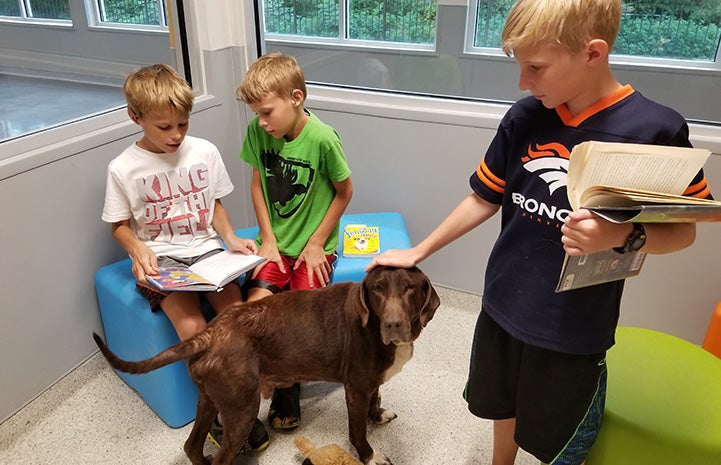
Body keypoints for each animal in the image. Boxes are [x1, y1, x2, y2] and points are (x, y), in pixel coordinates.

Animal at [95, 264, 438, 464]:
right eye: (378, 289)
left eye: (409, 287)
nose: (394, 325)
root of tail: (210, 331)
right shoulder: (355, 388)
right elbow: (357, 431)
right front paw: (370, 455)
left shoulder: (369, 384)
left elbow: (374, 401)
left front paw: (377, 416)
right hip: (241, 409)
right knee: (221, 457)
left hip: (211, 399)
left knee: (192, 446)